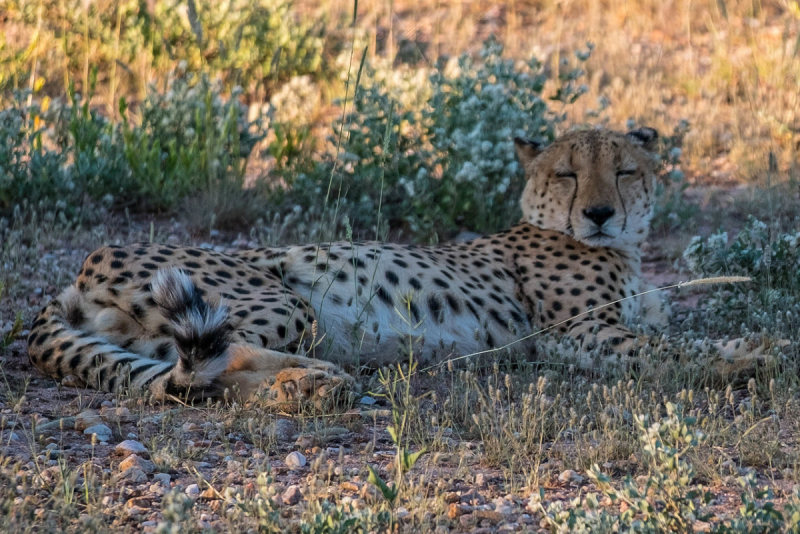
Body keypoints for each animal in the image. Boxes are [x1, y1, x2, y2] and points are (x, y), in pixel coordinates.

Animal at [25, 127, 760, 404]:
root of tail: (79, 272)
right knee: (217, 361)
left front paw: (740, 346)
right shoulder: (574, 335)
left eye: (625, 171)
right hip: (279, 298)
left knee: (191, 378)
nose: (601, 213)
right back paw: (311, 381)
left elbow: (672, 335)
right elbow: (663, 351)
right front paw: (743, 358)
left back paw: (313, 383)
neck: (621, 249)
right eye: (568, 174)